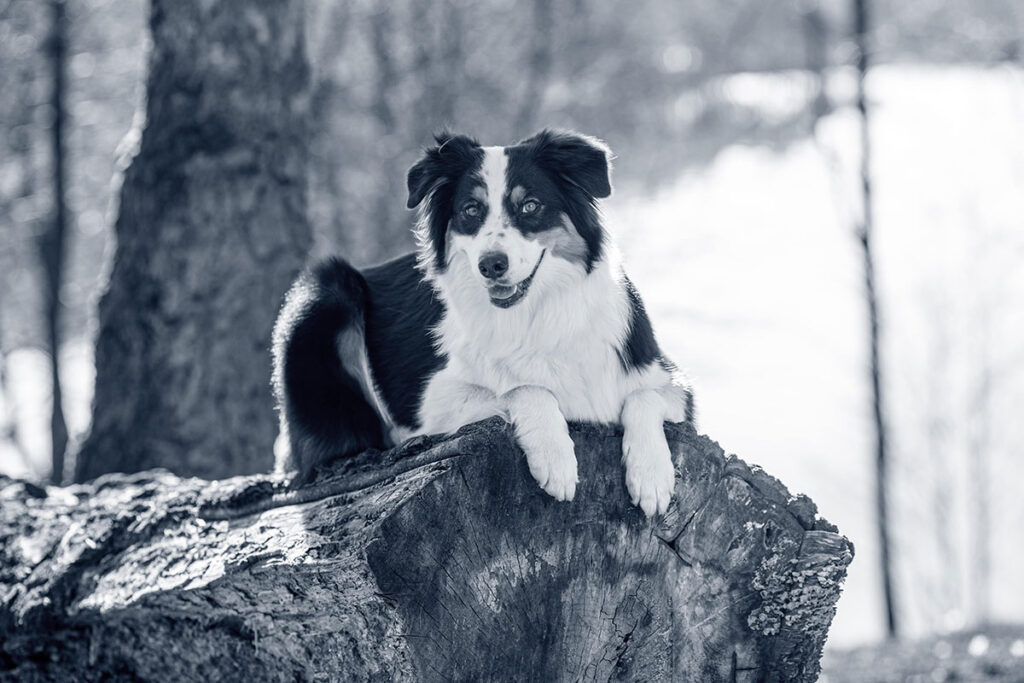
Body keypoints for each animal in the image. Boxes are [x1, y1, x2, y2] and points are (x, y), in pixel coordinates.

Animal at [270, 127, 696, 516]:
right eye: (471, 210)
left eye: (530, 206)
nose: (491, 265)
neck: (532, 316)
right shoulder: (430, 404)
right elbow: (524, 388)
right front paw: (555, 457)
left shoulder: (671, 383)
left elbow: (644, 397)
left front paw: (651, 474)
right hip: (326, 292)